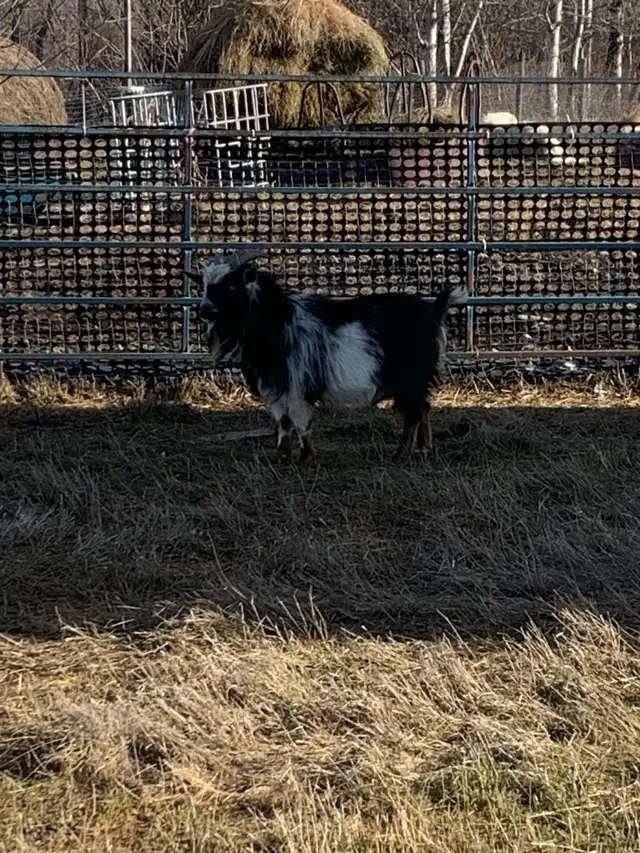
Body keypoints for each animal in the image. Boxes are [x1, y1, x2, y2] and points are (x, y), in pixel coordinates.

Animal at [186, 249, 468, 464]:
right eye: (205, 285)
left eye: (232, 284)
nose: (205, 310)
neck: (276, 319)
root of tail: (434, 309)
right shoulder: (275, 387)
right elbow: (283, 423)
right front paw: (281, 457)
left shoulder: (295, 385)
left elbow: (299, 421)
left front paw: (306, 459)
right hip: (418, 378)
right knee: (424, 407)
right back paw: (424, 448)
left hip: (411, 376)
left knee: (412, 413)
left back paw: (400, 455)